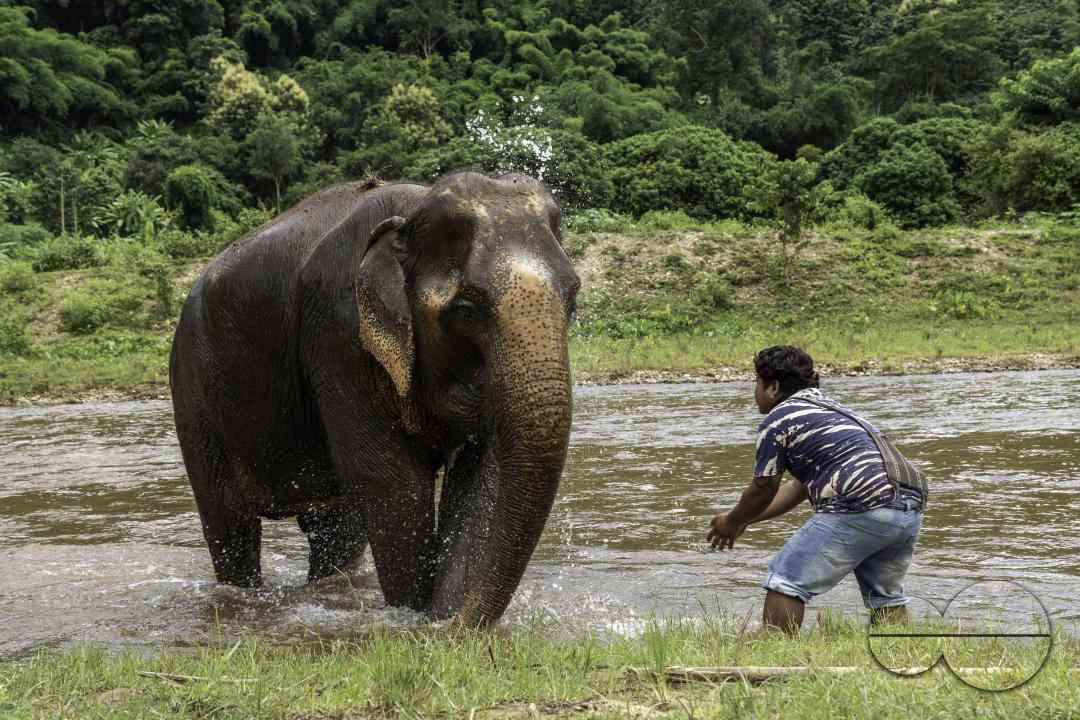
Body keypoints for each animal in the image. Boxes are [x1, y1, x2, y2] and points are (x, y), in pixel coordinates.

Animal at [169, 171, 579, 627]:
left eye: (573, 301)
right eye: (466, 311)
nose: (454, 626)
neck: (414, 208)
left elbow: (479, 481)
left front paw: (441, 620)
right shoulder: (338, 329)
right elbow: (394, 481)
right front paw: (415, 619)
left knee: (335, 530)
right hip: (193, 395)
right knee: (231, 526)